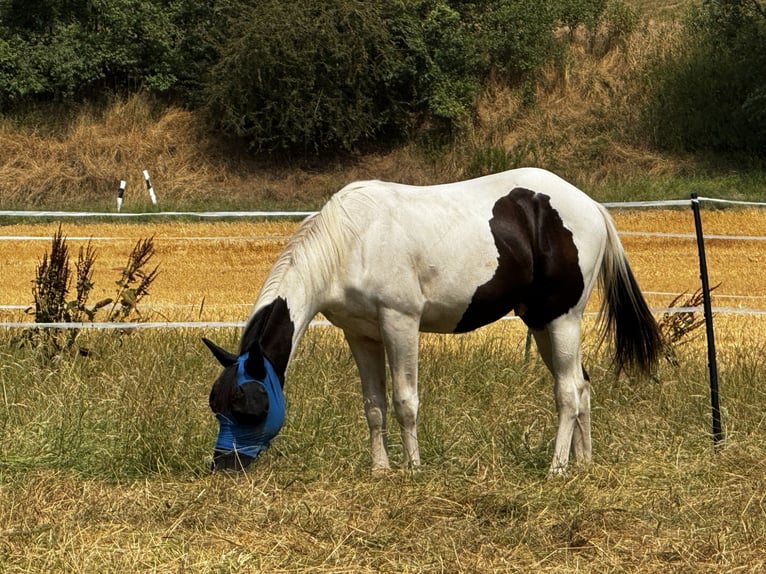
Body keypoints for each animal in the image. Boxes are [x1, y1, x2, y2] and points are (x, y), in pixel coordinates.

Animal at [203, 167, 662, 474]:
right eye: (217, 405)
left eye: (247, 404)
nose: (224, 464)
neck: (353, 239)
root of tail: (591, 207)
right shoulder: (360, 335)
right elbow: (374, 406)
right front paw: (381, 470)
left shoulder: (400, 323)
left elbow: (405, 402)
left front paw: (415, 469)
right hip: (541, 322)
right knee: (581, 385)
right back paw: (582, 464)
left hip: (563, 319)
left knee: (567, 392)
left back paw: (556, 468)